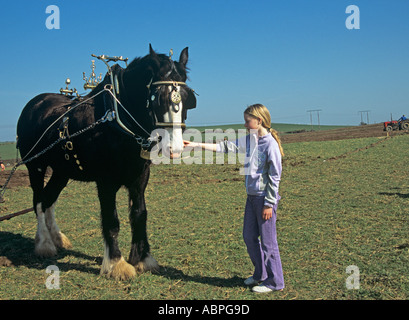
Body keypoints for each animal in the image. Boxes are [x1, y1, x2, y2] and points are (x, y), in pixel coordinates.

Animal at [14, 45, 196, 280]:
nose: (175, 147)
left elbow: (139, 215)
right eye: (157, 98)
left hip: (62, 171)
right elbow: (112, 220)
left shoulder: (140, 177)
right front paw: (116, 264)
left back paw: (58, 238)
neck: (117, 118)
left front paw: (143, 259)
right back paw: (44, 243)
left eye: (188, 98)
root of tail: (35, 103)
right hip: (35, 166)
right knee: (38, 200)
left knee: (48, 200)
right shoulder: (105, 182)